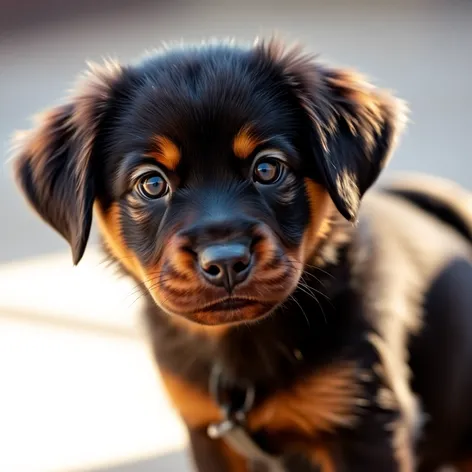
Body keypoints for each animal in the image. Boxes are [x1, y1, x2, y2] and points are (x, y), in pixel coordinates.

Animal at [10, 38, 472, 470]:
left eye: (267, 169)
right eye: (152, 183)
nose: (226, 261)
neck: (240, 346)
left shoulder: (368, 425)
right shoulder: (206, 433)